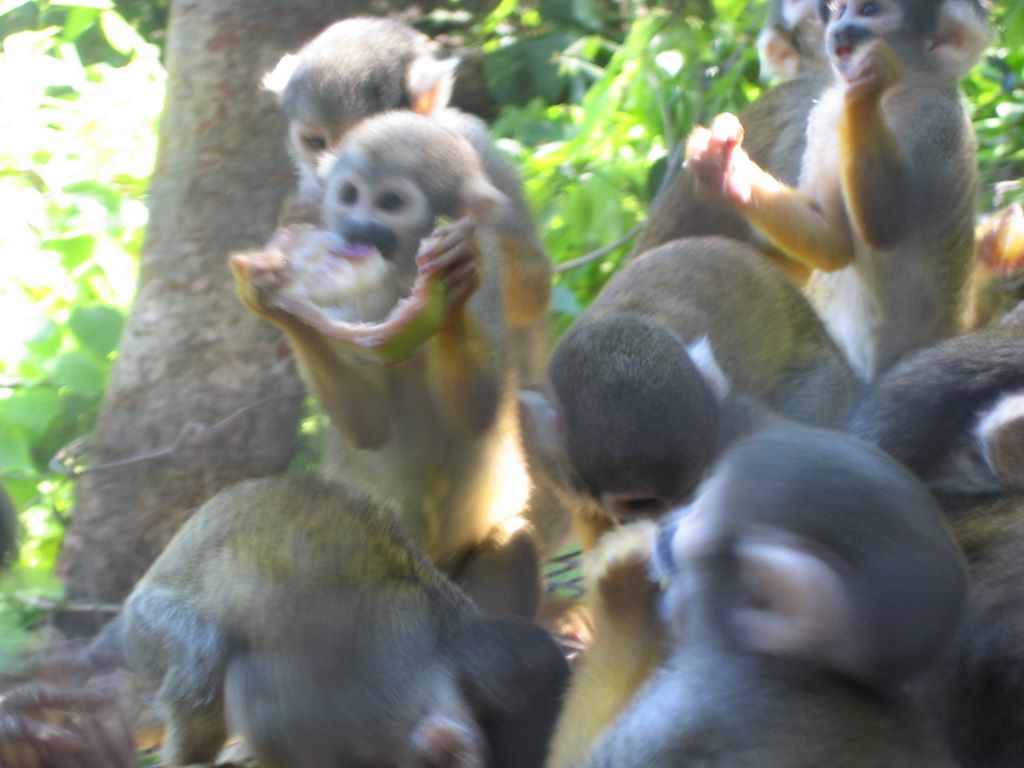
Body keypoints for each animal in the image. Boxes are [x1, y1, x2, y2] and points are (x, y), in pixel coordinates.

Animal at [232, 112, 547, 620]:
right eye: (349, 194)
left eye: (391, 203)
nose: (358, 226)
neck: (399, 275)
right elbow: (368, 427)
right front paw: (276, 300)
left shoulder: (495, 267)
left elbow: (476, 416)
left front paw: (452, 285)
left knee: (511, 541)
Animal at [686, 0, 989, 381]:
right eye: (841, 11)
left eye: (869, 11)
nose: (840, 30)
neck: (896, 95)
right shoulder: (826, 115)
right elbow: (833, 241)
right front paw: (725, 170)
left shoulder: (935, 118)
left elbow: (886, 225)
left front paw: (865, 91)